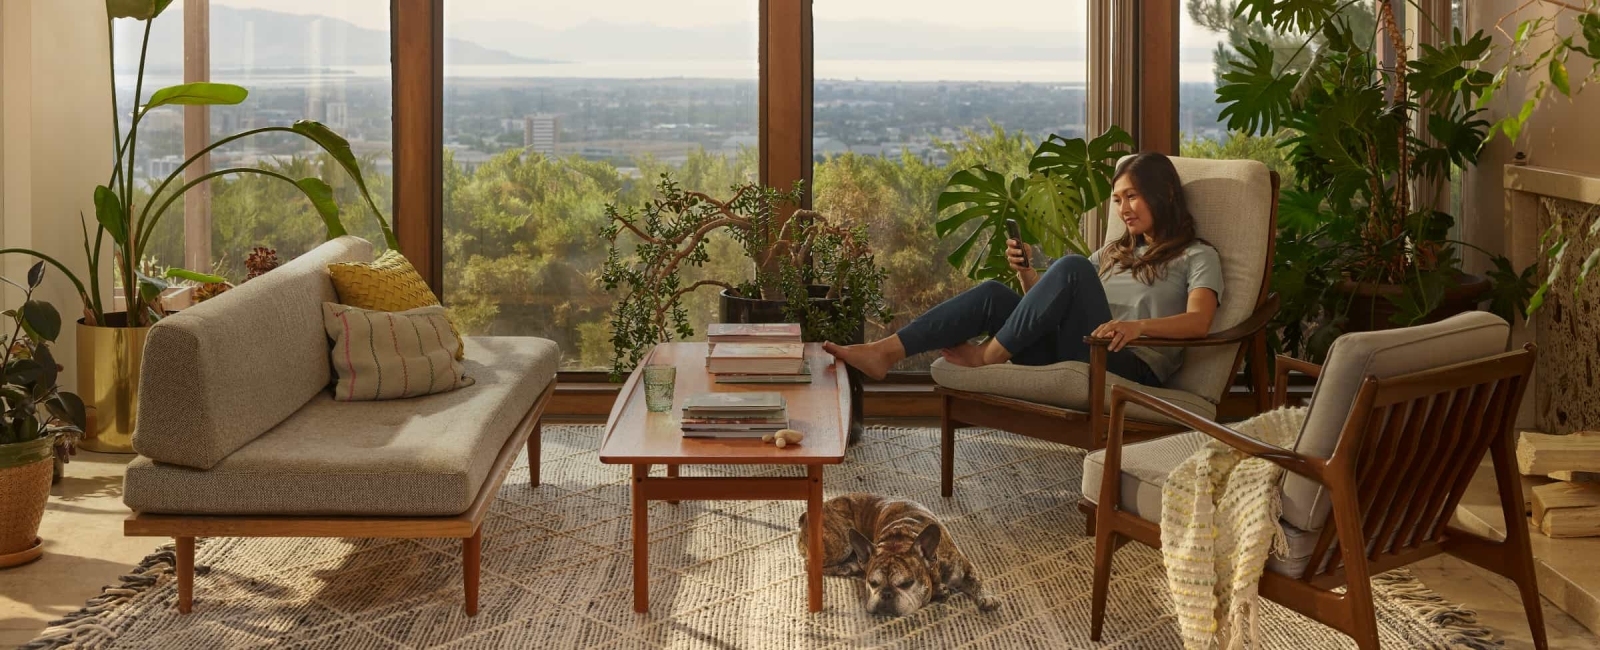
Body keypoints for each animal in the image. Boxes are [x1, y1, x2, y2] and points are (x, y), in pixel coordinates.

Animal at [793, 496, 992, 617]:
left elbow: (976, 579)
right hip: (840, 545)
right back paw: (847, 567)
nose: (886, 594)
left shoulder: (962, 568)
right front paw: (939, 591)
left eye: (906, 583)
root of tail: (805, 515)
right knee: (810, 564)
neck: (900, 538)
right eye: (872, 583)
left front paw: (988, 598)